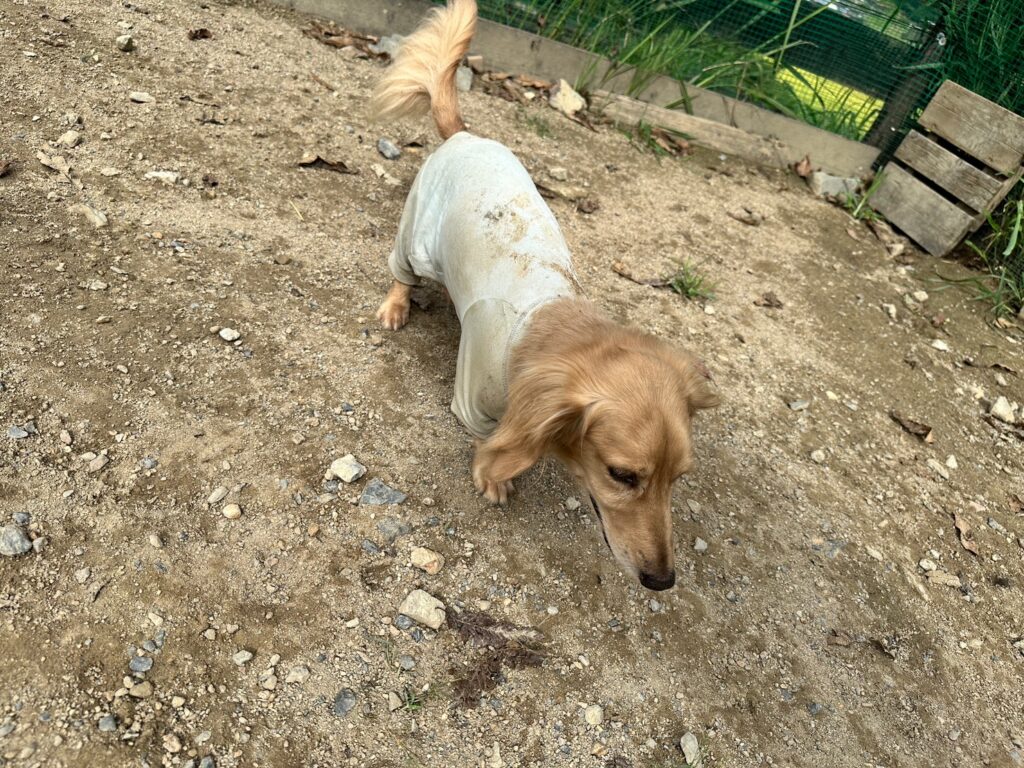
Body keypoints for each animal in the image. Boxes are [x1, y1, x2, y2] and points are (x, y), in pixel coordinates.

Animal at [370, 0, 719, 591]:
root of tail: (464, 136)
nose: (662, 580)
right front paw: (493, 477)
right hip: (416, 235)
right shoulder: (476, 403)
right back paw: (397, 305)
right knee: (404, 270)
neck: (555, 321)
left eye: (679, 477)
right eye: (622, 475)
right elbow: (498, 445)